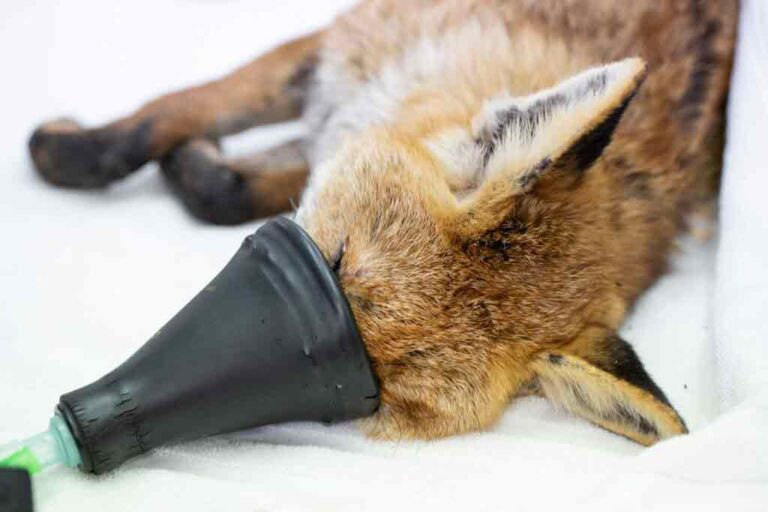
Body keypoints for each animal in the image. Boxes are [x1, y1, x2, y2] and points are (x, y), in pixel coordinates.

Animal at [28, 0, 738, 446]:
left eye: (382, 390)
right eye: (336, 257)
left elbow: (224, 189)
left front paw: (189, 164)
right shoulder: (340, 46)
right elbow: (168, 116)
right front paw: (67, 150)